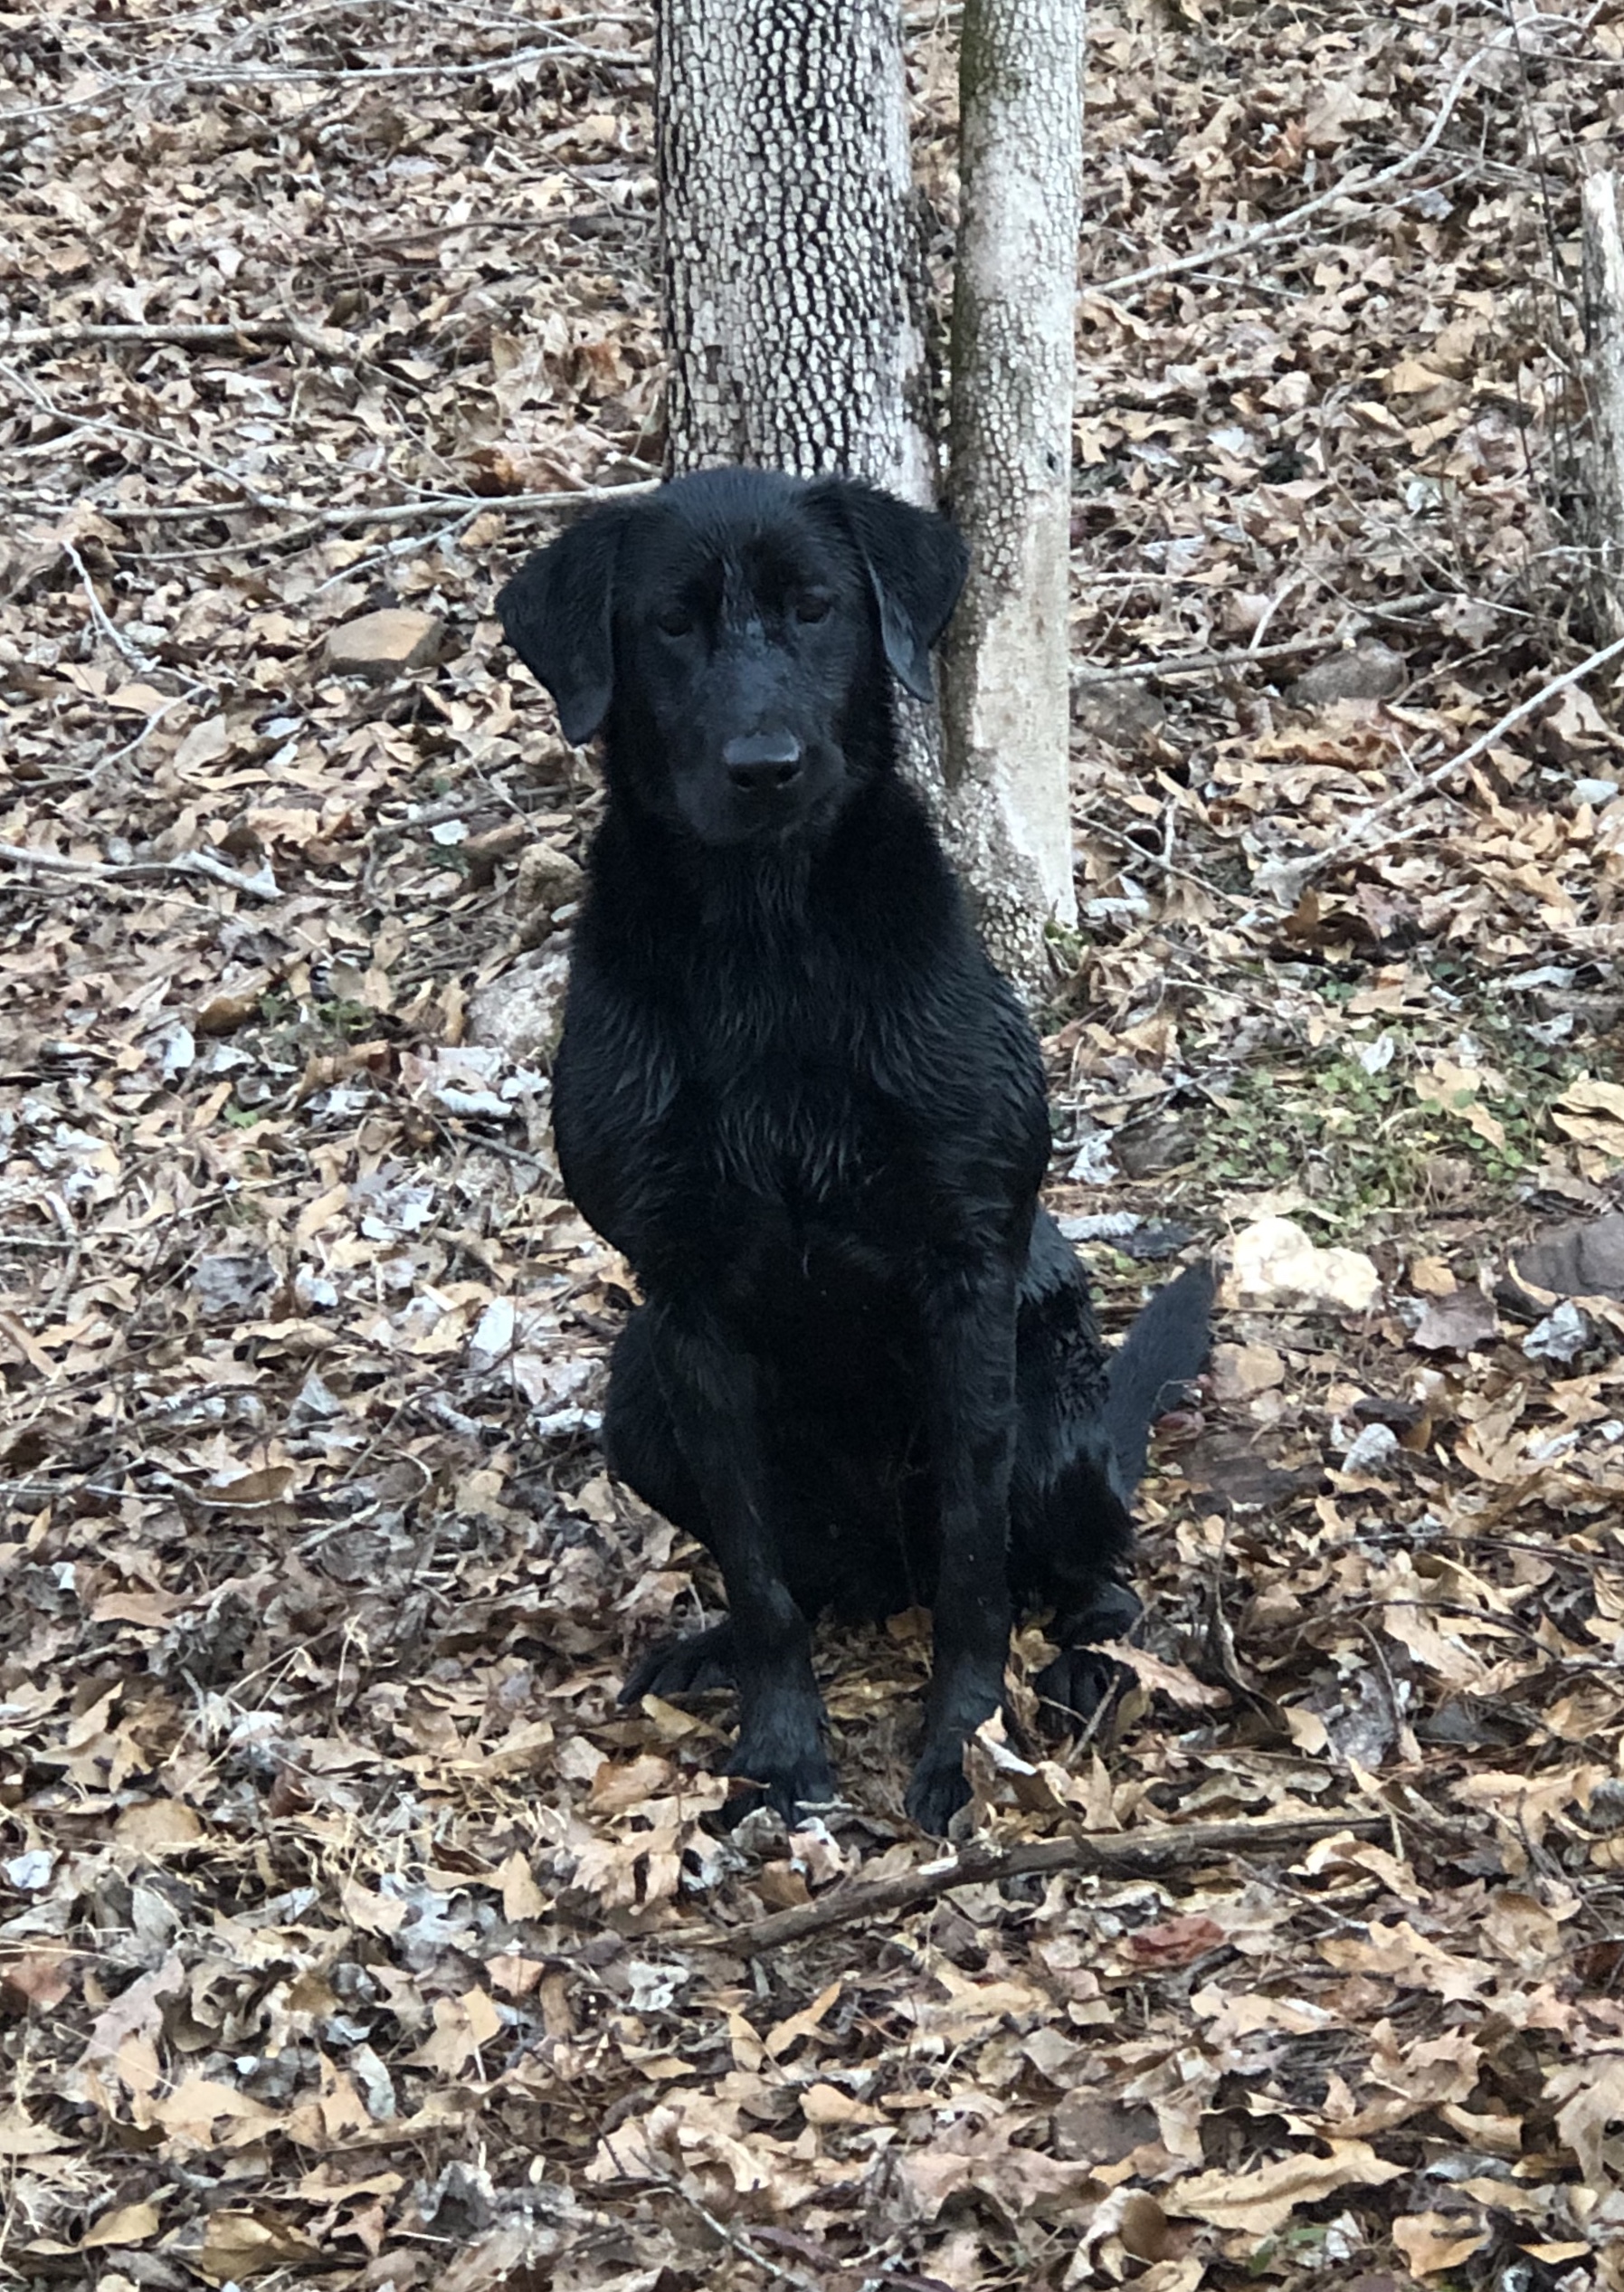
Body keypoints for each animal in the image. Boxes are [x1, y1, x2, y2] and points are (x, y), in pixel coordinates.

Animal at [499, 465, 1209, 1824]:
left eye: (816, 607)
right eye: (670, 623)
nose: (764, 766)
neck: (768, 941)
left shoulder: (963, 1277)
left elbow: (977, 1569)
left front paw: (964, 1742)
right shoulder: (686, 1303)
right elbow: (760, 1576)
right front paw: (779, 1752)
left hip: (1051, 1407)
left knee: (1077, 1571)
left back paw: (1085, 1661)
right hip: (637, 1395)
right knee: (808, 1579)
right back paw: (715, 1647)